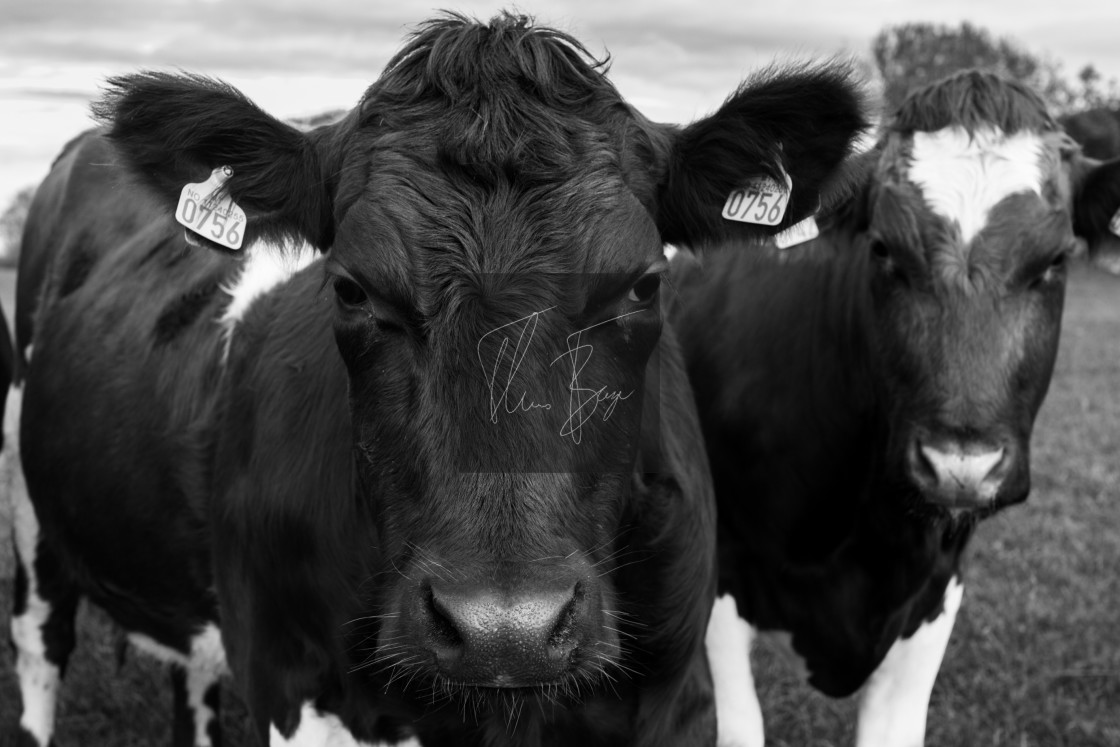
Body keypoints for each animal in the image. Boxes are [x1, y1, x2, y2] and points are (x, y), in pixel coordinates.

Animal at [4, 13, 864, 747]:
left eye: (645, 284)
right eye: (350, 288)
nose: (504, 630)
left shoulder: (675, 697)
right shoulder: (292, 681)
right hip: (31, 513)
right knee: (41, 646)